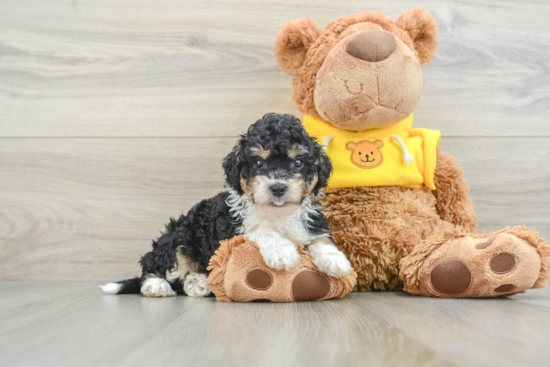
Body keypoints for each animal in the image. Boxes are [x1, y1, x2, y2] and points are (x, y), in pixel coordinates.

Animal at [101, 113, 354, 298]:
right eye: (259, 163)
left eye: (298, 162)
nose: (278, 188)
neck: (277, 213)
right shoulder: (233, 228)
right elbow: (262, 230)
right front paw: (282, 251)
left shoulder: (311, 221)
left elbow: (319, 239)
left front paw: (336, 260)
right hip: (180, 235)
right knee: (157, 262)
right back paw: (157, 285)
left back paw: (198, 282)